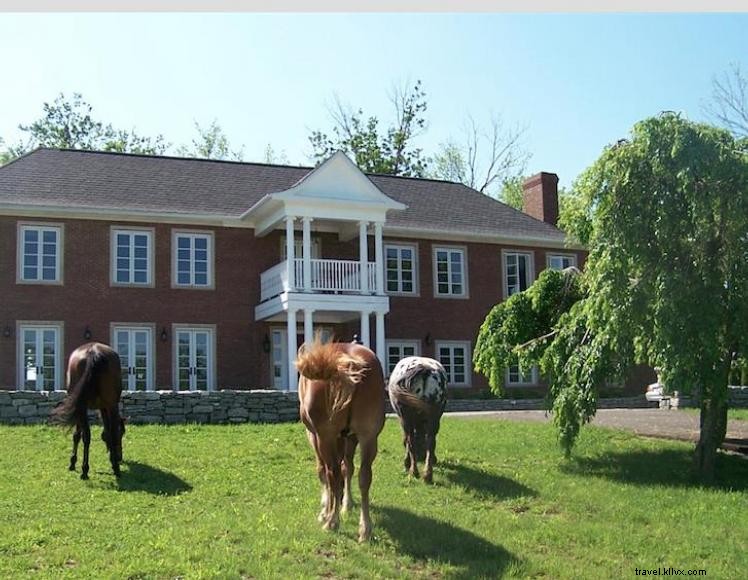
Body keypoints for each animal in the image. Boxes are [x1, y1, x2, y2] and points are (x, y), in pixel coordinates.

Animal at [50, 342, 125, 478]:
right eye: (122, 433)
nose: (120, 457)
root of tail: (93, 352)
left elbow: (77, 435)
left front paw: (73, 462)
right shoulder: (106, 407)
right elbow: (109, 433)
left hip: (84, 406)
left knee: (86, 436)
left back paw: (85, 469)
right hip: (111, 405)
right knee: (100, 434)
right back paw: (114, 468)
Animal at [294, 338, 386, 540]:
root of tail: (348, 363)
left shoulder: (316, 436)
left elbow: (324, 472)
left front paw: (325, 511)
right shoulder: (349, 438)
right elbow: (348, 468)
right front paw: (346, 504)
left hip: (325, 438)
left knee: (332, 474)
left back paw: (332, 522)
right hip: (368, 438)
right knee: (364, 477)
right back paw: (365, 528)